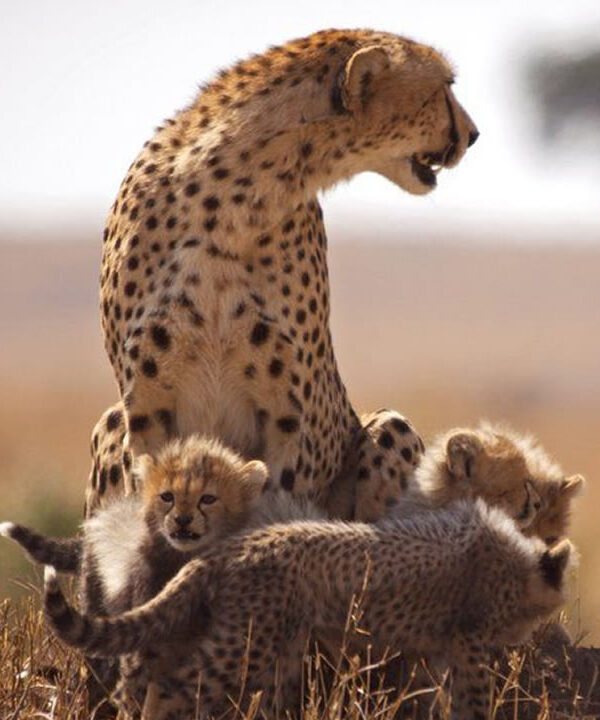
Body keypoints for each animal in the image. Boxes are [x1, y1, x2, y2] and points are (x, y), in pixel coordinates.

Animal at [43, 501, 573, 720]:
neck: (520, 560)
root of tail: (227, 547)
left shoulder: (441, 649)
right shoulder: (469, 644)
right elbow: (472, 700)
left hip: (273, 644)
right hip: (245, 644)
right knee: (176, 687)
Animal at [86, 27, 478, 521]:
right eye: (443, 86)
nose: (473, 134)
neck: (235, 196)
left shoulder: (287, 417)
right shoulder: (145, 408)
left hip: (391, 427)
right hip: (111, 420)